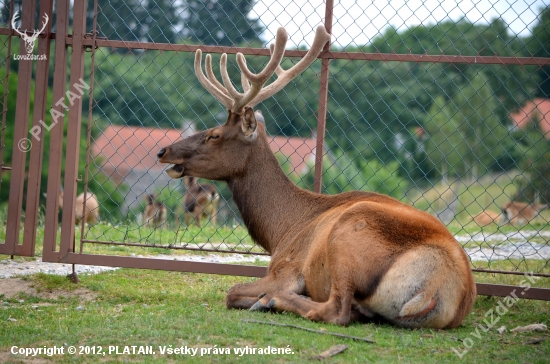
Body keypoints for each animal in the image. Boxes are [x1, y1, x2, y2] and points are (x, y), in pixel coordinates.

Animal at [157, 24, 476, 328]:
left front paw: (262, 298)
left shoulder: (287, 268)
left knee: (336, 311)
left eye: (214, 135)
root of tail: (440, 289)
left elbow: (231, 291)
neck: (279, 231)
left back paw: (271, 301)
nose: (163, 151)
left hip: (349, 237)